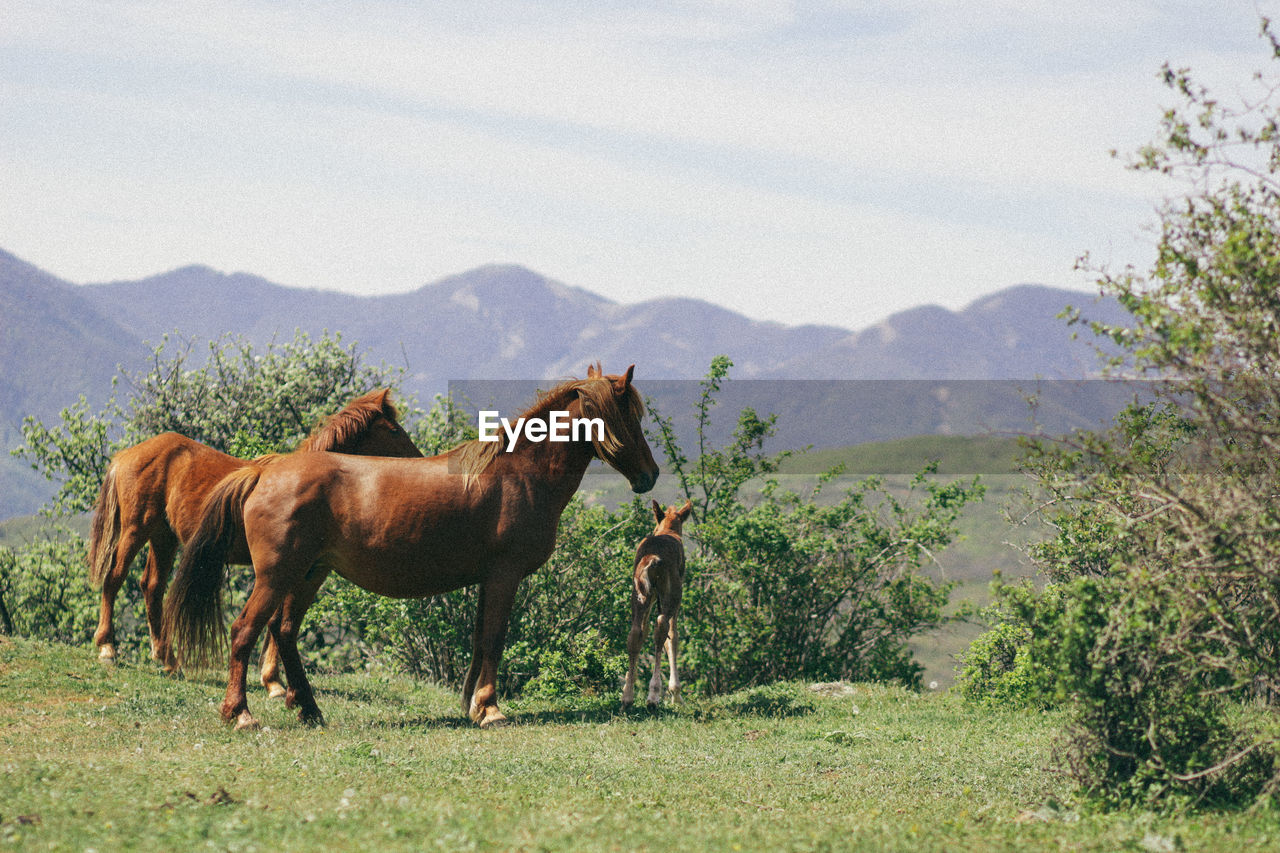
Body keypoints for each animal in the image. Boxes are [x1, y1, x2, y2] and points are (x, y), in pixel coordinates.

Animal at [86, 389, 424, 686]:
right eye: (395, 431)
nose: (419, 462)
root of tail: (128, 454)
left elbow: (278, 621)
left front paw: (272, 679)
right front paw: (274, 681)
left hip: (163, 537)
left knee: (152, 587)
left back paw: (168, 659)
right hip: (136, 528)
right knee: (114, 577)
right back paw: (108, 648)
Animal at [162, 361, 660, 727]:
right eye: (629, 418)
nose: (650, 475)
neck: (517, 472)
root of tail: (265, 468)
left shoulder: (488, 579)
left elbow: (480, 638)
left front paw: (471, 705)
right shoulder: (505, 575)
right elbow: (495, 637)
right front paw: (490, 709)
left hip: (309, 574)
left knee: (283, 632)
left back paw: (309, 709)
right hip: (276, 576)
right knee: (245, 629)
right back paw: (241, 714)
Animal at [622, 494, 691, 706]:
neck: (668, 529)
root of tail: (652, 560)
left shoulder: (651, 597)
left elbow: (642, 634)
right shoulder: (673, 598)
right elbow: (673, 637)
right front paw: (676, 695)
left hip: (639, 595)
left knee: (635, 632)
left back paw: (627, 697)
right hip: (671, 594)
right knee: (661, 628)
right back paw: (653, 696)